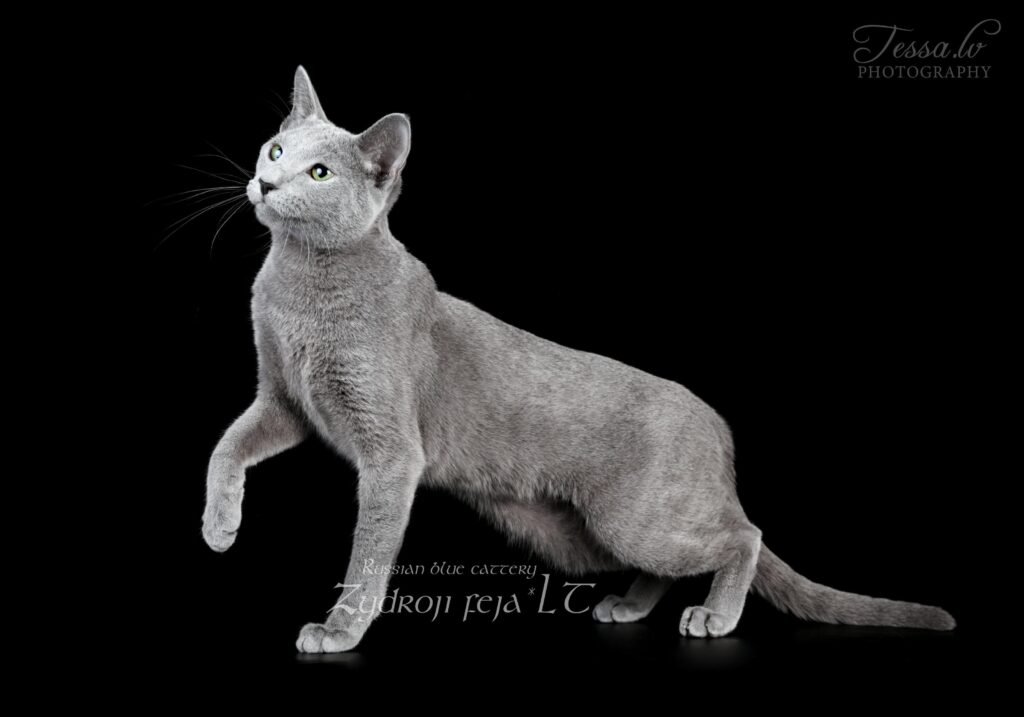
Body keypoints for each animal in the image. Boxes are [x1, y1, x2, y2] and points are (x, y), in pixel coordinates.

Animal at [201, 66, 955, 652]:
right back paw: (629, 605)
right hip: (577, 534)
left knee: (743, 534)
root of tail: (716, 427)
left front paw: (338, 630)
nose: (267, 183)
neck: (298, 288)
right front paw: (219, 525)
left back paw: (714, 614)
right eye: (275, 147)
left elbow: (368, 550)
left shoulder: (391, 451)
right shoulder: (284, 400)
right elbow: (225, 447)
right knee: (681, 555)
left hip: (632, 519)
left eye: (319, 171)